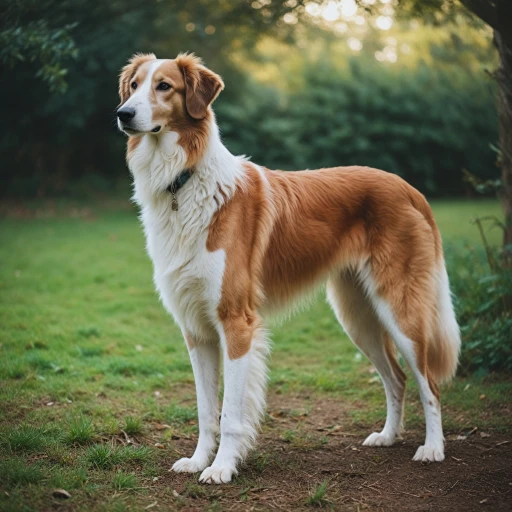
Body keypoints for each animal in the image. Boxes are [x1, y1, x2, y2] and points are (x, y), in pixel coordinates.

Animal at [118, 52, 462, 484]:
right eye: (134, 86)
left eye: (164, 86)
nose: (123, 114)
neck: (184, 181)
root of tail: (408, 188)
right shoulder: (196, 330)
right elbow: (205, 409)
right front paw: (198, 460)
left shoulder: (236, 323)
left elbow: (229, 414)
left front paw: (222, 468)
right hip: (358, 317)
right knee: (396, 378)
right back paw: (387, 436)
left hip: (399, 310)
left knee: (429, 382)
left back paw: (433, 448)